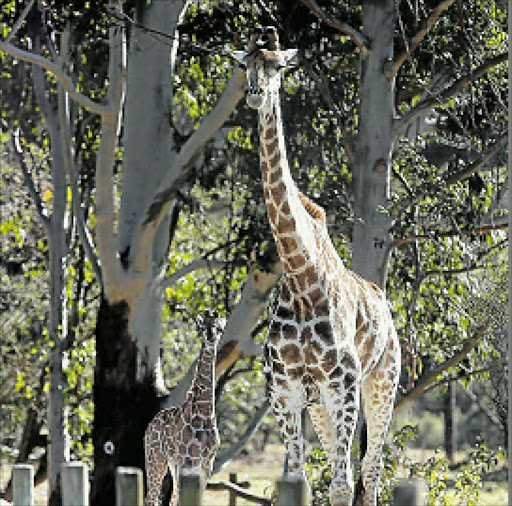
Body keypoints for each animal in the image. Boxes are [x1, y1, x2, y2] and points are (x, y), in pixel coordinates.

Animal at [143, 312, 221, 506]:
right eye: (203, 326)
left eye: (219, 327)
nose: (211, 337)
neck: (204, 412)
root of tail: (150, 425)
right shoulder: (188, 462)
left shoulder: (207, 463)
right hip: (156, 459)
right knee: (151, 497)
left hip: (171, 464)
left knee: (170, 498)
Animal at [234, 27, 402, 506]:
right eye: (244, 65)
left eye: (278, 66)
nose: (255, 94)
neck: (300, 274)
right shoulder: (286, 388)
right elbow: (298, 480)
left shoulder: (342, 383)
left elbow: (342, 484)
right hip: (322, 404)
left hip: (380, 382)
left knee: (371, 468)